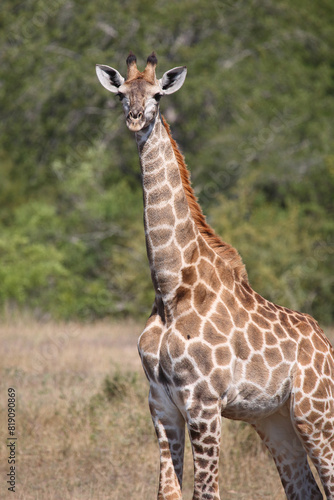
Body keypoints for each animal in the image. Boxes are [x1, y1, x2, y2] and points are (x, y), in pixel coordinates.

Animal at [96, 51, 334, 500]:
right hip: (275, 419)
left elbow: (206, 492)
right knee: (306, 489)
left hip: (316, 413)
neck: (170, 288)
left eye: (157, 94)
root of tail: (327, 347)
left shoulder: (203, 402)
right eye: (121, 94)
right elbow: (167, 491)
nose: (135, 118)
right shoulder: (161, 403)